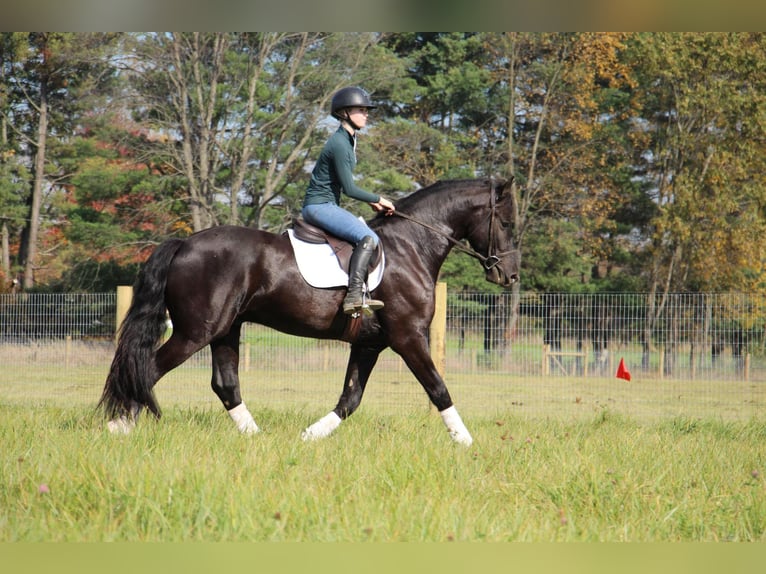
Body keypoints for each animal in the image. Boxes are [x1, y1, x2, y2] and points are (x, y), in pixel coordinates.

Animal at [99, 178, 520, 448]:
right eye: (506, 222)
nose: (510, 275)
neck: (411, 246)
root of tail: (185, 243)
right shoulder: (408, 337)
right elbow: (438, 388)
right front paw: (466, 442)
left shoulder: (370, 344)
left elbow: (350, 399)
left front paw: (308, 437)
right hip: (195, 332)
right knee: (147, 369)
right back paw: (118, 427)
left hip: (226, 330)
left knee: (225, 384)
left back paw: (258, 439)